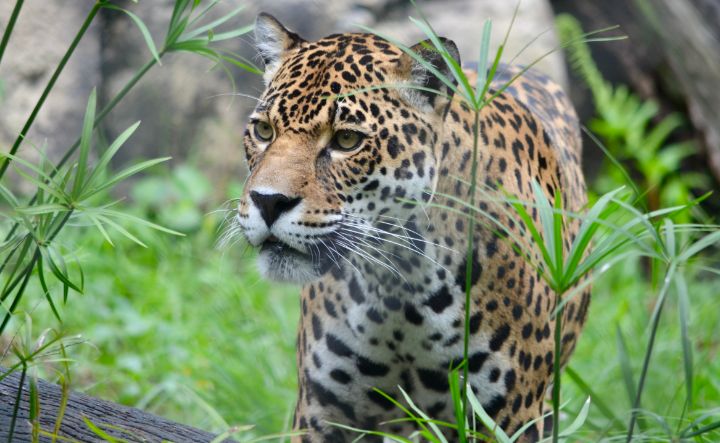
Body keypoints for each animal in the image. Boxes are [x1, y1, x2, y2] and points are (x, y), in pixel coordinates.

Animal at [234, 12, 590, 443]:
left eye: (347, 139)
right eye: (264, 131)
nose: (268, 202)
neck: (399, 288)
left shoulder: (510, 419)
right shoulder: (322, 415)